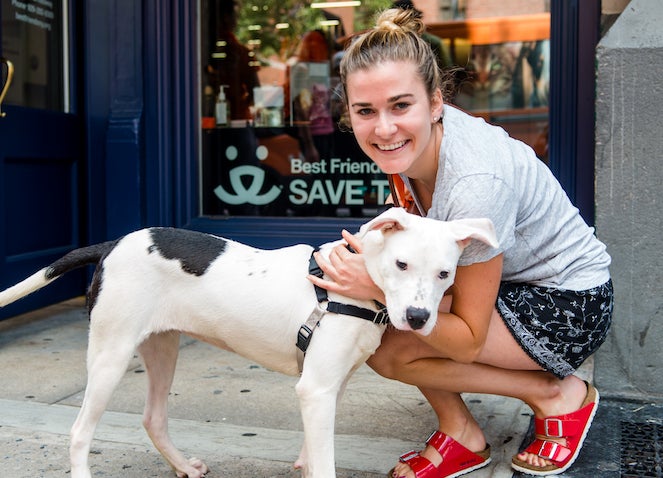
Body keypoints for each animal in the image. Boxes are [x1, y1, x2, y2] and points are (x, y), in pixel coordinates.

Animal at [0, 208, 498, 478]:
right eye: (401, 264)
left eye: (445, 274)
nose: (418, 318)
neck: (349, 286)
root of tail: (111, 244)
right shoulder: (316, 390)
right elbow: (325, 461)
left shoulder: (327, 387)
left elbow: (312, 453)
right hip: (111, 352)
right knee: (80, 431)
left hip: (162, 348)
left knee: (153, 418)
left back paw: (183, 466)